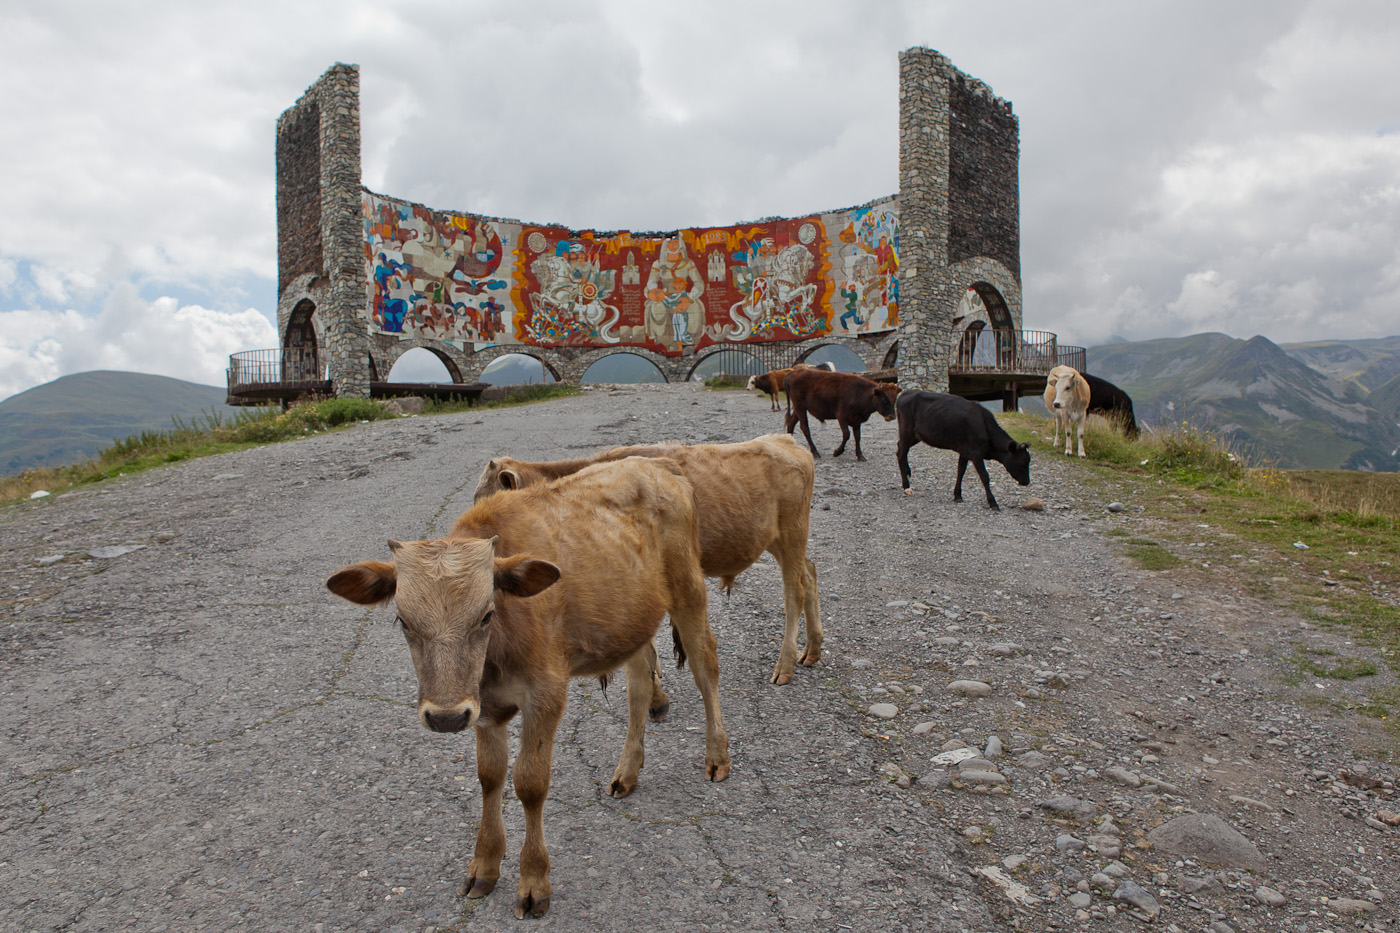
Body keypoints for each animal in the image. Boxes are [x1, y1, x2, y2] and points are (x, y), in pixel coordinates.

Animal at [322, 456, 728, 913]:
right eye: (403, 621)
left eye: (486, 614)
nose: (445, 717)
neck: (497, 656)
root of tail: (656, 461)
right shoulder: (482, 707)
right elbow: (490, 777)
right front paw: (484, 865)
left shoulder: (546, 694)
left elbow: (530, 783)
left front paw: (534, 880)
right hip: (633, 620)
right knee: (640, 686)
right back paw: (627, 772)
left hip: (689, 591)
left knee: (706, 668)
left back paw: (717, 755)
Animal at [476, 431, 817, 683]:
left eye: (489, 495)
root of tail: (784, 440)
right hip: (779, 540)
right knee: (810, 573)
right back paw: (812, 650)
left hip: (793, 533)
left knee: (795, 591)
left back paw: (785, 665)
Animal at [890, 389, 1036, 512]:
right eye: (1023, 461)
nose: (1027, 482)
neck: (984, 425)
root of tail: (906, 392)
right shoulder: (976, 453)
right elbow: (984, 476)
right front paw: (993, 503)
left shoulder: (965, 452)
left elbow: (961, 471)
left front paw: (958, 495)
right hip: (906, 431)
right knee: (901, 453)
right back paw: (906, 486)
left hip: (916, 435)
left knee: (901, 450)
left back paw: (908, 473)